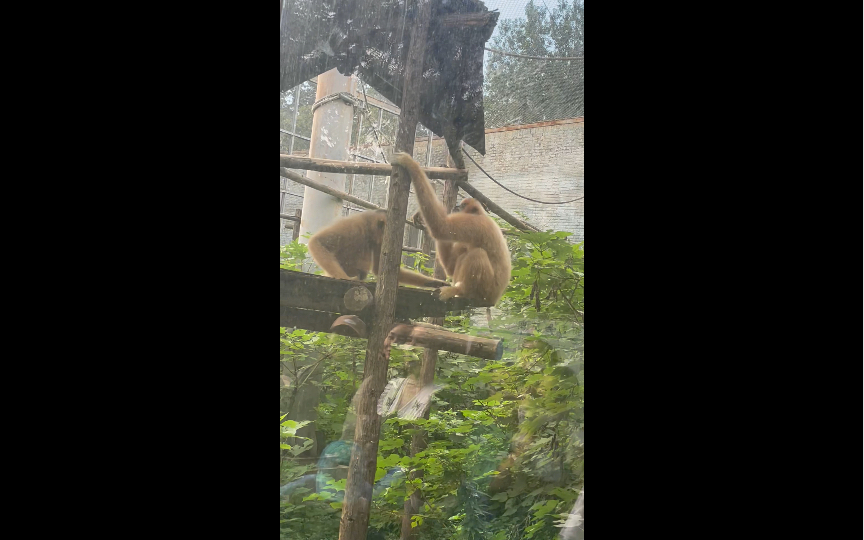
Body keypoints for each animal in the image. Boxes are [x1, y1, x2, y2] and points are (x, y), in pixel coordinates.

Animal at [307, 209, 449, 288]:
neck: (368, 229)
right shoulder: (353, 226)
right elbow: (317, 242)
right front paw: (344, 278)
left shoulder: (379, 241)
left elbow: (377, 268)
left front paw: (433, 282)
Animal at [392, 152, 512, 304]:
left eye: (462, 206)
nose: (457, 207)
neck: (481, 215)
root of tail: (495, 298)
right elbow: (450, 267)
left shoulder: (474, 223)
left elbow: (441, 228)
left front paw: (410, 164)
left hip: (487, 289)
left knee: (476, 254)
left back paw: (461, 291)